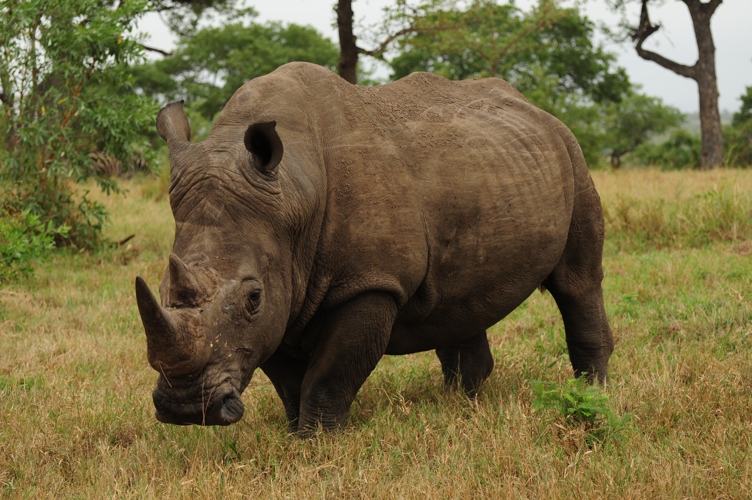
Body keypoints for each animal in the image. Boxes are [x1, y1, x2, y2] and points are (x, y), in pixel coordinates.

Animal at [135, 62, 614, 430]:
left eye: (252, 297)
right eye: (160, 291)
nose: (185, 409)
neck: (293, 191)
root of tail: (535, 108)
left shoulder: (370, 281)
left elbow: (328, 375)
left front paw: (318, 441)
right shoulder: (280, 294)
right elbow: (287, 378)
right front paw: (294, 434)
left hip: (571, 153)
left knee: (578, 281)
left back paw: (592, 394)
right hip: (491, 167)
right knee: (460, 299)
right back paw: (462, 405)